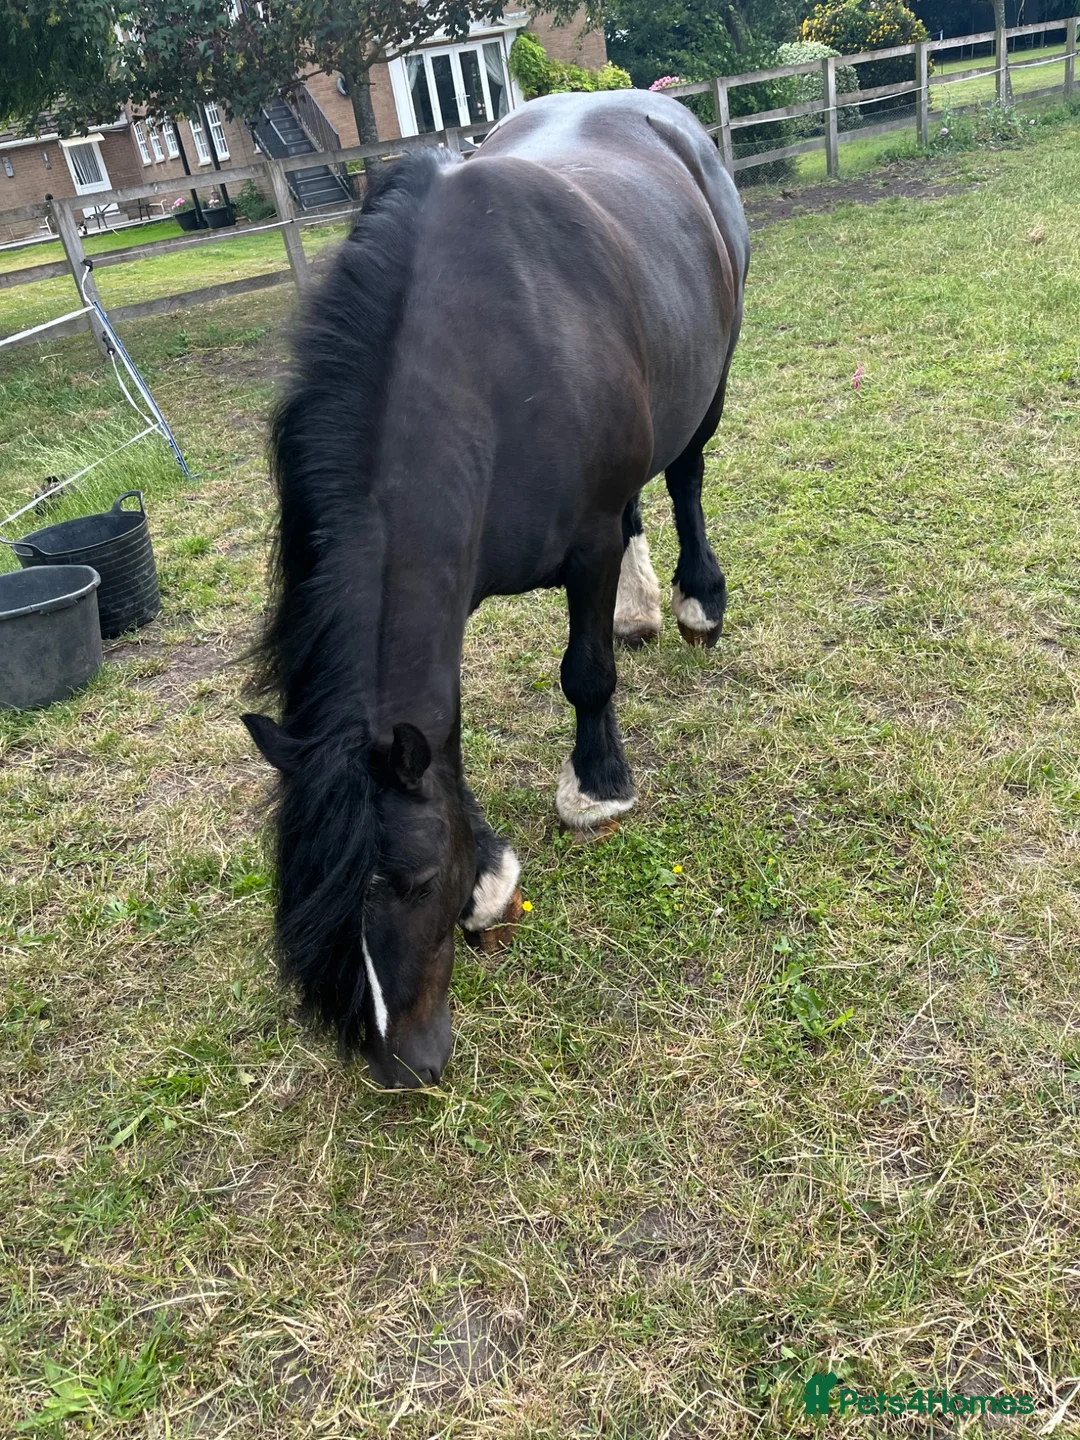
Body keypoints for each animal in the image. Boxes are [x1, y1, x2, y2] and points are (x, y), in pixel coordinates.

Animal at [243, 88, 750, 1089]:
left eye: (415, 883)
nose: (404, 1061)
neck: (487, 357)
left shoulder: (584, 547)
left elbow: (584, 674)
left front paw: (597, 788)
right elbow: (442, 733)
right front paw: (490, 877)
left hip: (707, 389)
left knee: (685, 476)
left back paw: (692, 604)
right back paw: (640, 610)